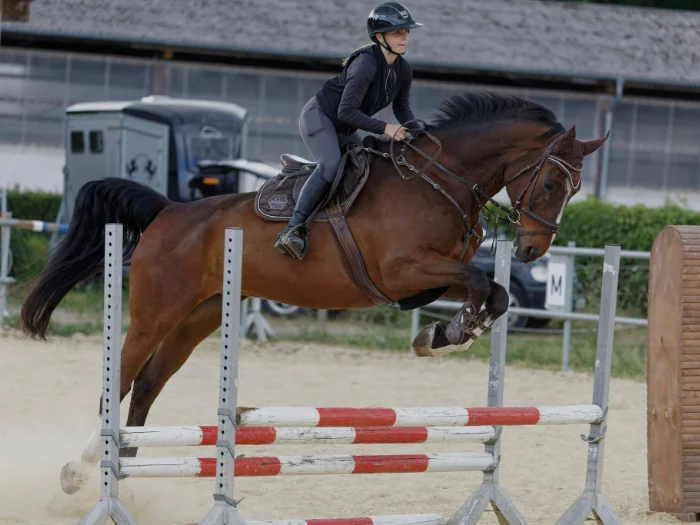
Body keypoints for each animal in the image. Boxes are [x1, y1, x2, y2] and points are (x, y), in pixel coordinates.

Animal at [18, 91, 607, 495]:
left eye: (576, 187)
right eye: (550, 183)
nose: (531, 250)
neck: (439, 181)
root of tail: (167, 210)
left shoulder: (434, 275)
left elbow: (496, 291)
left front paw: (448, 332)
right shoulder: (403, 270)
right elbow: (485, 283)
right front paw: (453, 330)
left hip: (198, 318)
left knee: (146, 385)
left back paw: (133, 466)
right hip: (155, 313)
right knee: (116, 384)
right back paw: (81, 469)